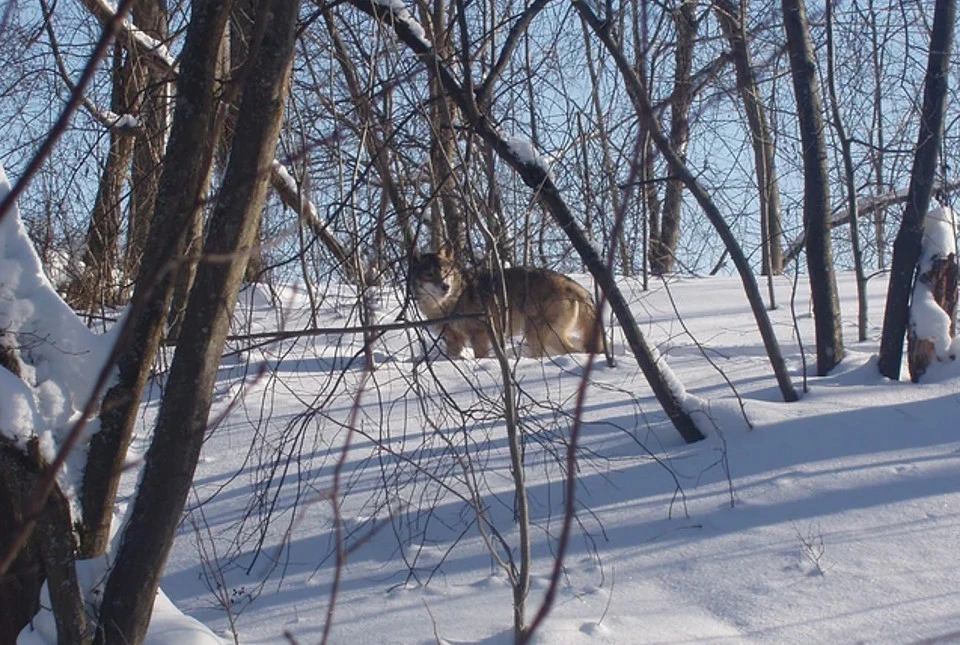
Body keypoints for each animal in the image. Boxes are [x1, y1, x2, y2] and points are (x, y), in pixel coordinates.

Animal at [408, 247, 604, 358]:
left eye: (445, 272)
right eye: (430, 274)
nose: (445, 286)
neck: (449, 302)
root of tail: (574, 285)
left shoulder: (480, 334)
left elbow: (480, 356)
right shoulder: (454, 339)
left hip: (534, 334)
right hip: (551, 336)